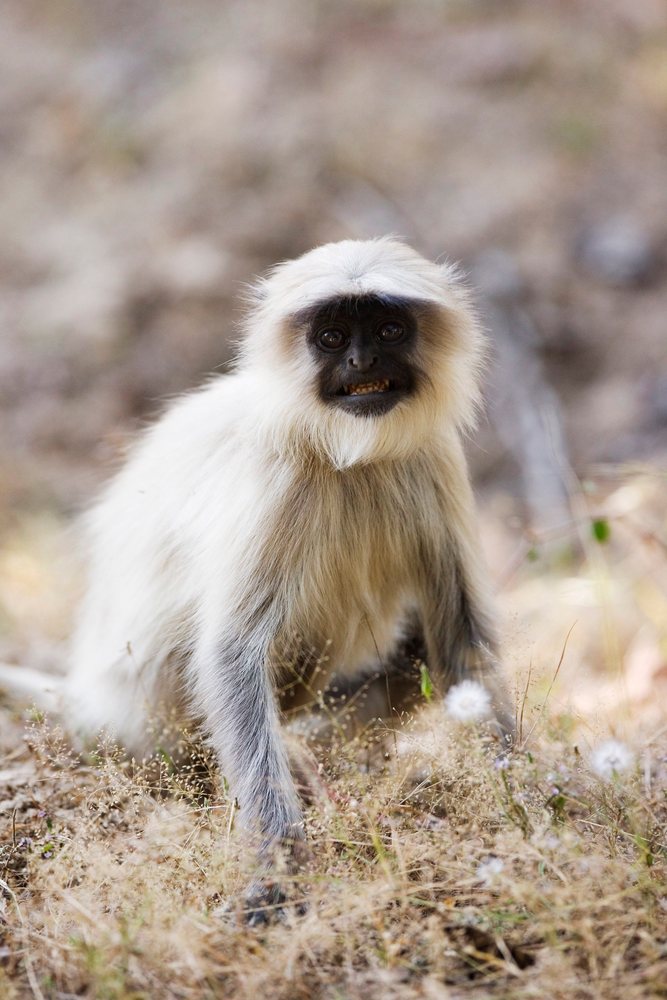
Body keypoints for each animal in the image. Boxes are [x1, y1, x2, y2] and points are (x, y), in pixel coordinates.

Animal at [0, 237, 513, 920]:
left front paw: (529, 799)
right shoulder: (275, 474)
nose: (361, 360)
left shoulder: (433, 455)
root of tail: (92, 701)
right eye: (331, 336)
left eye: (388, 330)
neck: (349, 451)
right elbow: (230, 656)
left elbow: (462, 639)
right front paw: (278, 870)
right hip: (156, 722)